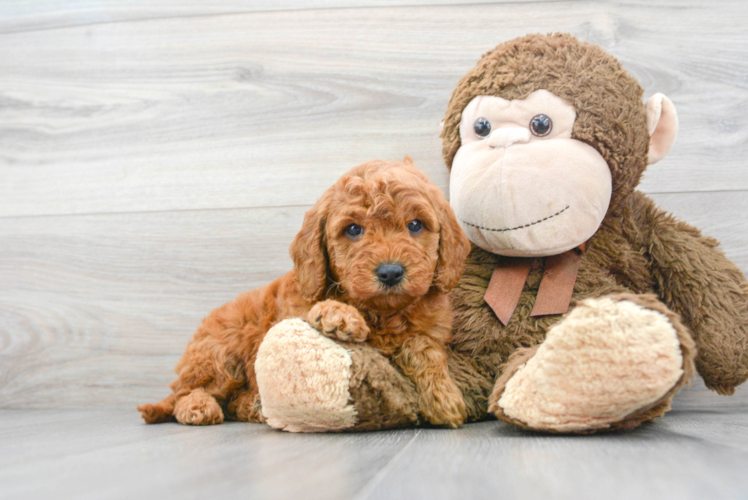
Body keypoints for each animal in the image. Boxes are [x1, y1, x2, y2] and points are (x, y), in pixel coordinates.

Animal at [137, 158, 470, 428]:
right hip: (220, 354)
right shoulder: (292, 310)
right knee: (187, 393)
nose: (390, 272)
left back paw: (253, 405)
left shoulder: (430, 331)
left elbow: (422, 348)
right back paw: (198, 407)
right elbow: (314, 310)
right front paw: (339, 314)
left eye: (415, 225)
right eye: (353, 230)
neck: (382, 314)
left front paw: (443, 396)